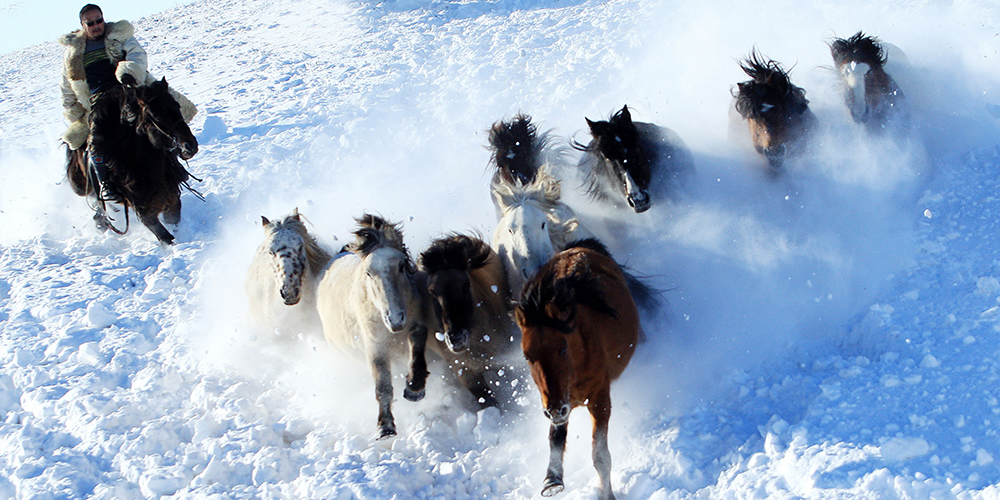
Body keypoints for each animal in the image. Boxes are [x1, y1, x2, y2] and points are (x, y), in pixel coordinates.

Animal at [65, 75, 199, 244]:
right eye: (157, 115)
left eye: (177, 106)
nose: (190, 146)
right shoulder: (146, 215)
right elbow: (166, 237)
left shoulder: (173, 203)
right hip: (82, 186)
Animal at [316, 214, 434, 438]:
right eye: (369, 273)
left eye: (402, 265)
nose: (395, 320)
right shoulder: (375, 347)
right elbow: (383, 386)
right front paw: (385, 427)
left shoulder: (416, 324)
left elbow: (417, 347)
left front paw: (414, 388)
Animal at [418, 232, 520, 408]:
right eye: (432, 292)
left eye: (466, 285)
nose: (455, 338)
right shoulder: (467, 374)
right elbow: (487, 399)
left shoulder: (503, 357)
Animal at [516, 237, 640, 500]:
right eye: (527, 356)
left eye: (563, 348)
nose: (554, 409)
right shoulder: (560, 401)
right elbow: (555, 439)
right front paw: (552, 480)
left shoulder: (599, 398)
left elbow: (600, 456)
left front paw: (608, 495)